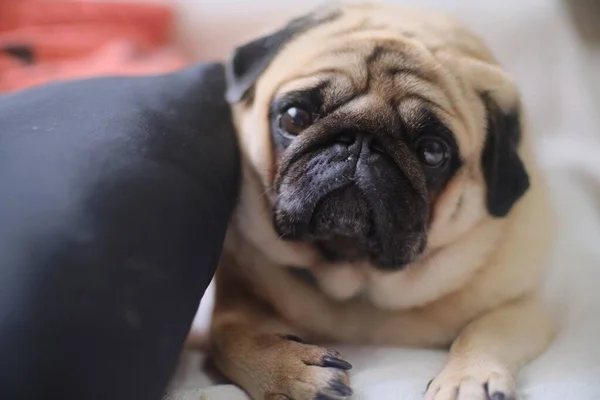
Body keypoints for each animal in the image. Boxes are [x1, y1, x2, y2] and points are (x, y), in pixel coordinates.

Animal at [209, 3, 556, 400]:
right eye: (294, 118)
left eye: (433, 152)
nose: (361, 143)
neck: (357, 275)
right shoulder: (236, 298)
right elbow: (230, 337)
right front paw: (290, 371)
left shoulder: (524, 308)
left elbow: (486, 330)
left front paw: (467, 379)